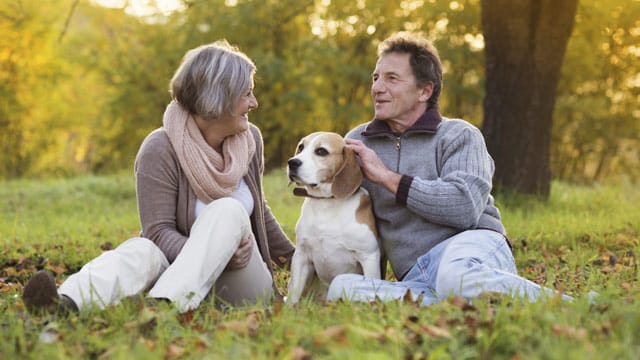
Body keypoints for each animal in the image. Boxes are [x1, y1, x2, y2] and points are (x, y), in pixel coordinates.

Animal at [284, 131, 380, 302]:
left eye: (321, 151)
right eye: (301, 147)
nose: (292, 162)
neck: (326, 203)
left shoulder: (369, 257)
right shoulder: (301, 256)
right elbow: (294, 293)